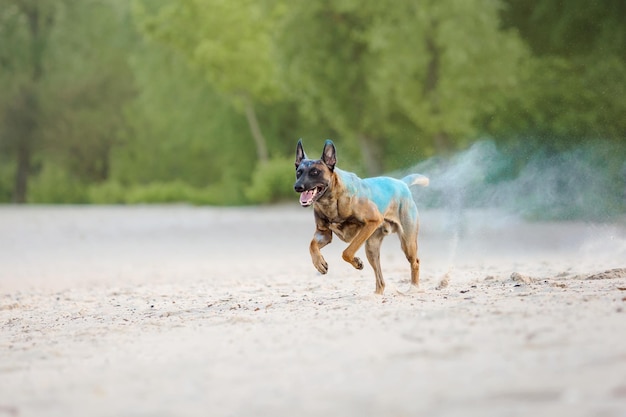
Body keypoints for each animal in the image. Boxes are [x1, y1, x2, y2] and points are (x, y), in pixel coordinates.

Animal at [294, 139, 428, 292]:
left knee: (415, 262)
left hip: (407, 242)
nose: (297, 187)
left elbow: (347, 252)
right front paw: (319, 263)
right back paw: (376, 294)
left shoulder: (372, 221)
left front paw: (356, 262)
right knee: (381, 281)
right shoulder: (323, 234)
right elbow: (312, 246)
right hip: (372, 248)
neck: (331, 201)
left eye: (315, 172)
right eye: (298, 172)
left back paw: (414, 287)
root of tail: (402, 183)